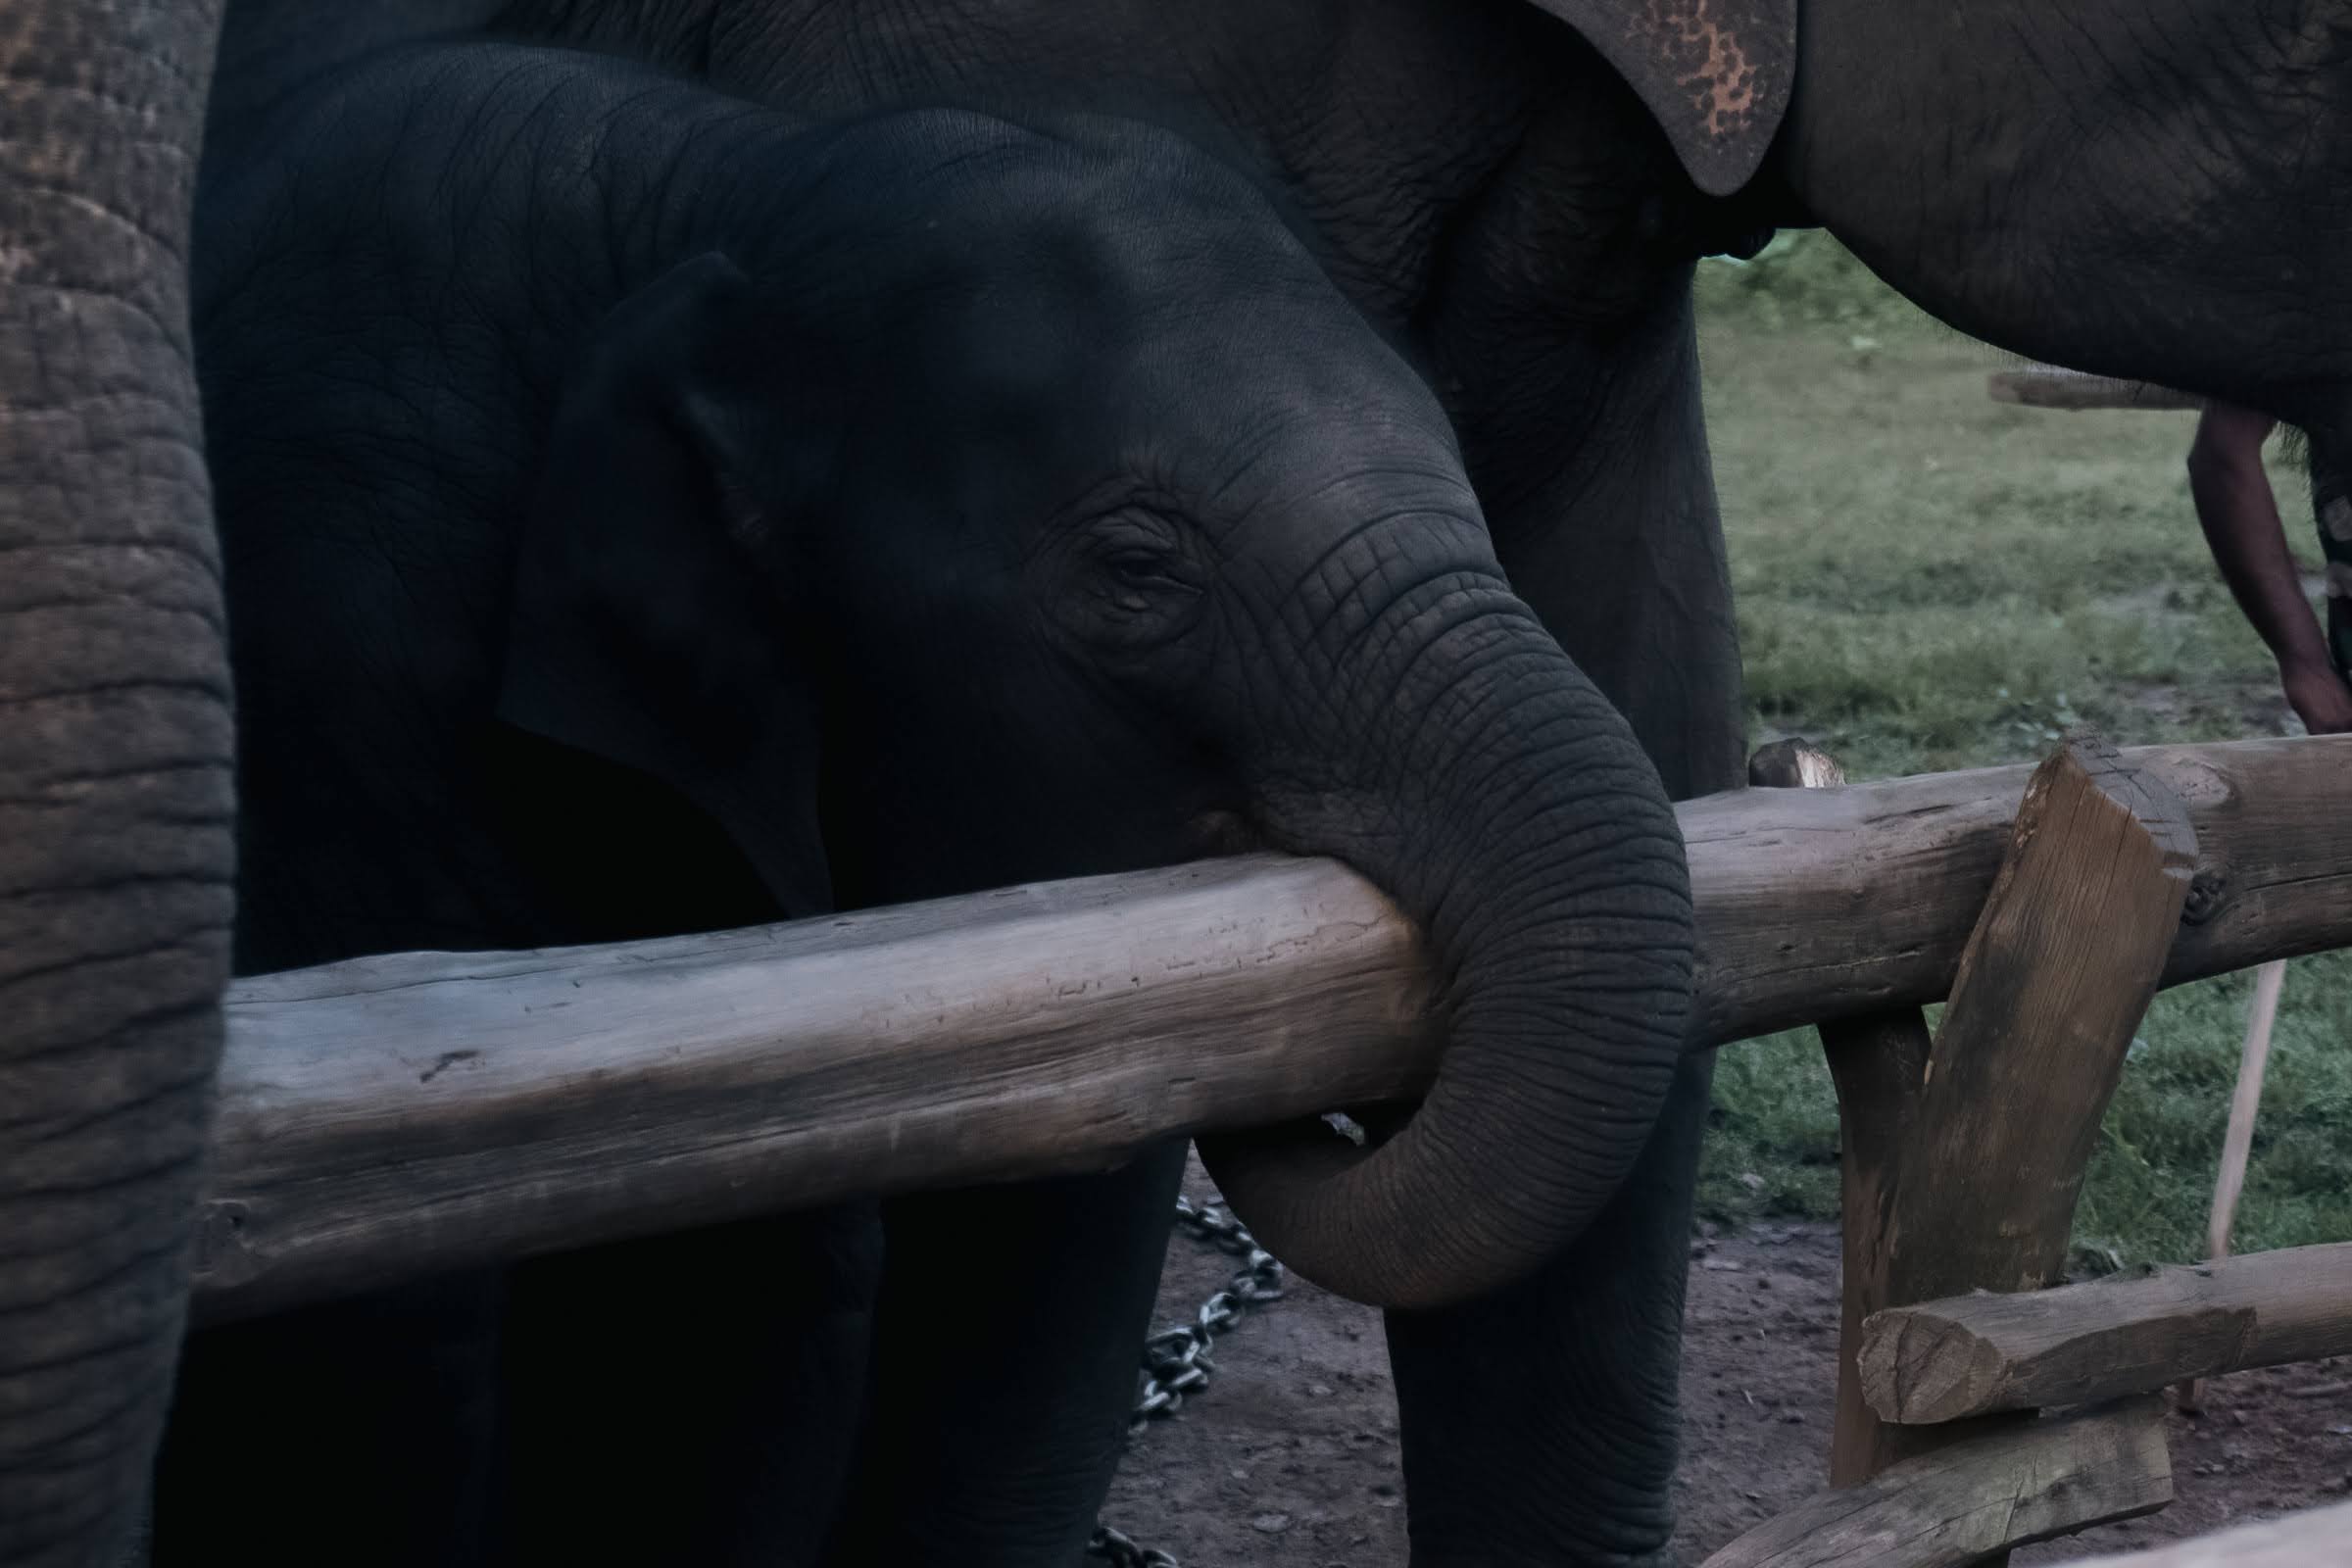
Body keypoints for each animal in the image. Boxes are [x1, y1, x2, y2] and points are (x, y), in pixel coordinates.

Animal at [166, 37, 1696, 1566]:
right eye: (1138, 569)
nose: (1335, 1101)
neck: (721, 192)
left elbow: (756, 1284)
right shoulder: (340, 647)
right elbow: (387, 1335)